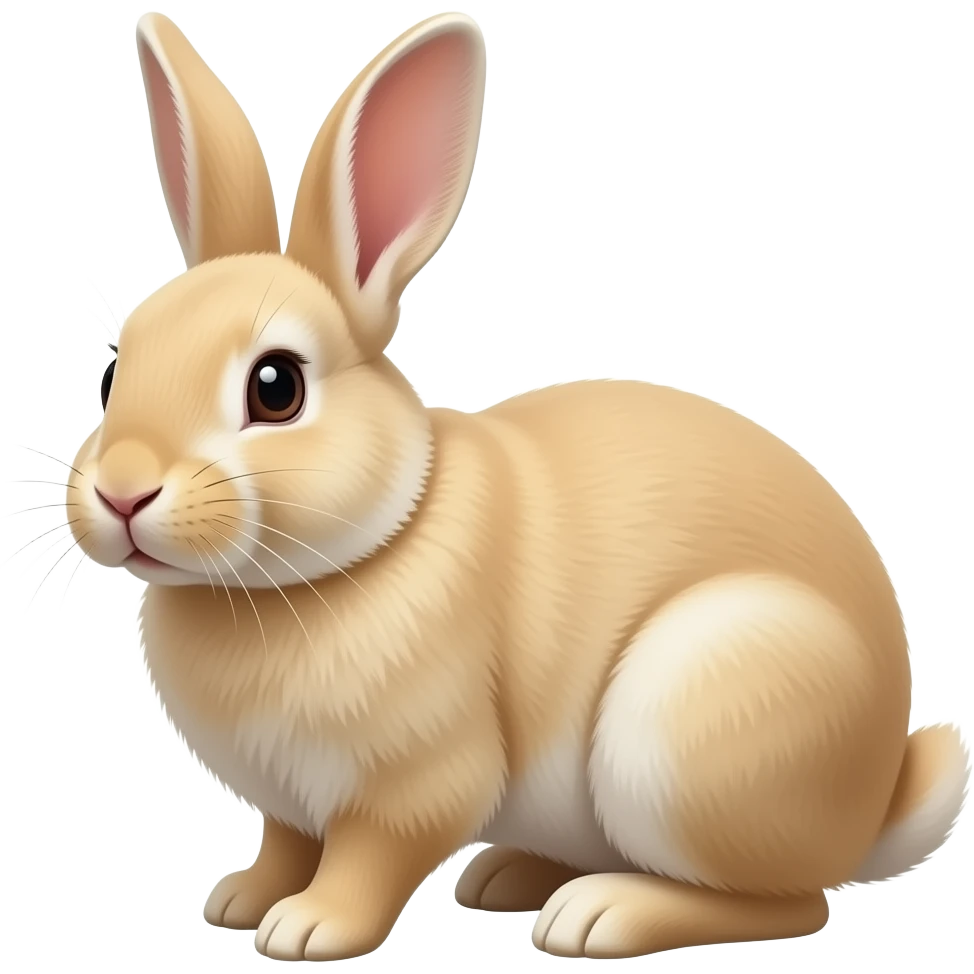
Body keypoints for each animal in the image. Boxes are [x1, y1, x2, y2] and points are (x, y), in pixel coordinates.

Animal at [60, 10, 970, 963]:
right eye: (113, 374)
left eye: (277, 388)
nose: (123, 493)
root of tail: (875, 799)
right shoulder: (289, 807)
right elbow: (285, 844)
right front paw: (238, 900)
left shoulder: (413, 781)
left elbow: (369, 859)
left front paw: (308, 929)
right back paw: (511, 878)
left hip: (693, 725)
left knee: (793, 904)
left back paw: (600, 914)